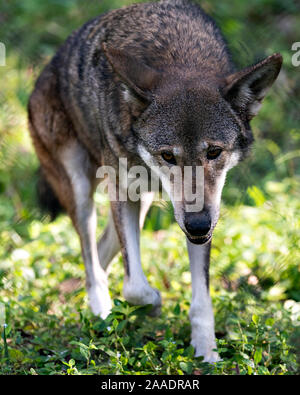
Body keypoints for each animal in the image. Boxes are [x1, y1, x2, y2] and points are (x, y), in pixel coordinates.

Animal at [27, 0, 282, 366]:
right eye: (168, 155)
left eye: (214, 152)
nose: (198, 224)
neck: (178, 55)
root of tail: (41, 76)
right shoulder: (123, 193)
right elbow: (134, 286)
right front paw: (155, 306)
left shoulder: (200, 216)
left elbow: (201, 299)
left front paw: (207, 354)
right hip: (82, 191)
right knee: (91, 261)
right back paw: (102, 312)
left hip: (144, 201)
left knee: (101, 253)